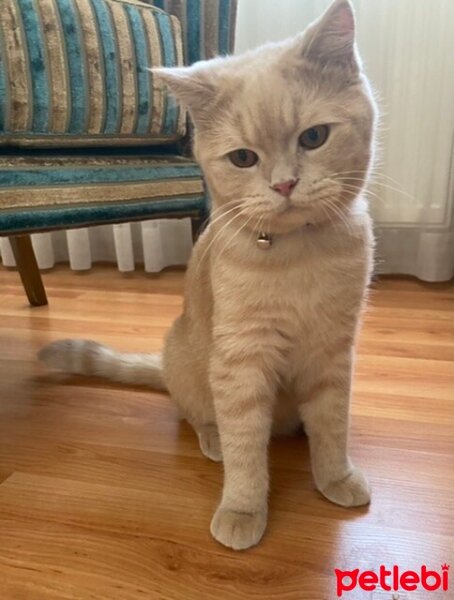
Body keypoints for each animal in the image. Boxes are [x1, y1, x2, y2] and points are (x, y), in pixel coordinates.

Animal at [40, 0, 376, 552]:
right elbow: (246, 444)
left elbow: (332, 423)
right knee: (199, 415)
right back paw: (213, 438)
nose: (284, 184)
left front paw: (335, 476)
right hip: (193, 369)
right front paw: (242, 507)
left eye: (314, 137)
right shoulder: (240, 360)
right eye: (243, 157)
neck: (300, 258)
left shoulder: (334, 352)